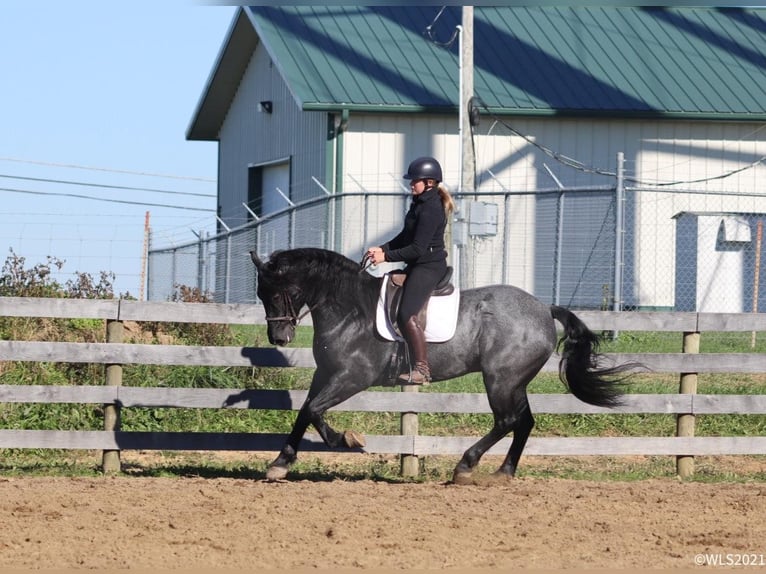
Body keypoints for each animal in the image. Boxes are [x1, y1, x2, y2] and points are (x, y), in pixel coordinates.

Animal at [252, 246, 636, 482]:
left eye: (279, 292)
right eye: (261, 294)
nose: (279, 338)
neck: (350, 309)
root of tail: (544, 308)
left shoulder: (353, 376)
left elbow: (315, 410)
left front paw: (346, 439)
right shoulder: (327, 373)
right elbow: (306, 410)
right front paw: (280, 463)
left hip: (500, 379)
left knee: (507, 420)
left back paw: (465, 465)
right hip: (514, 381)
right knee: (524, 422)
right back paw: (503, 473)